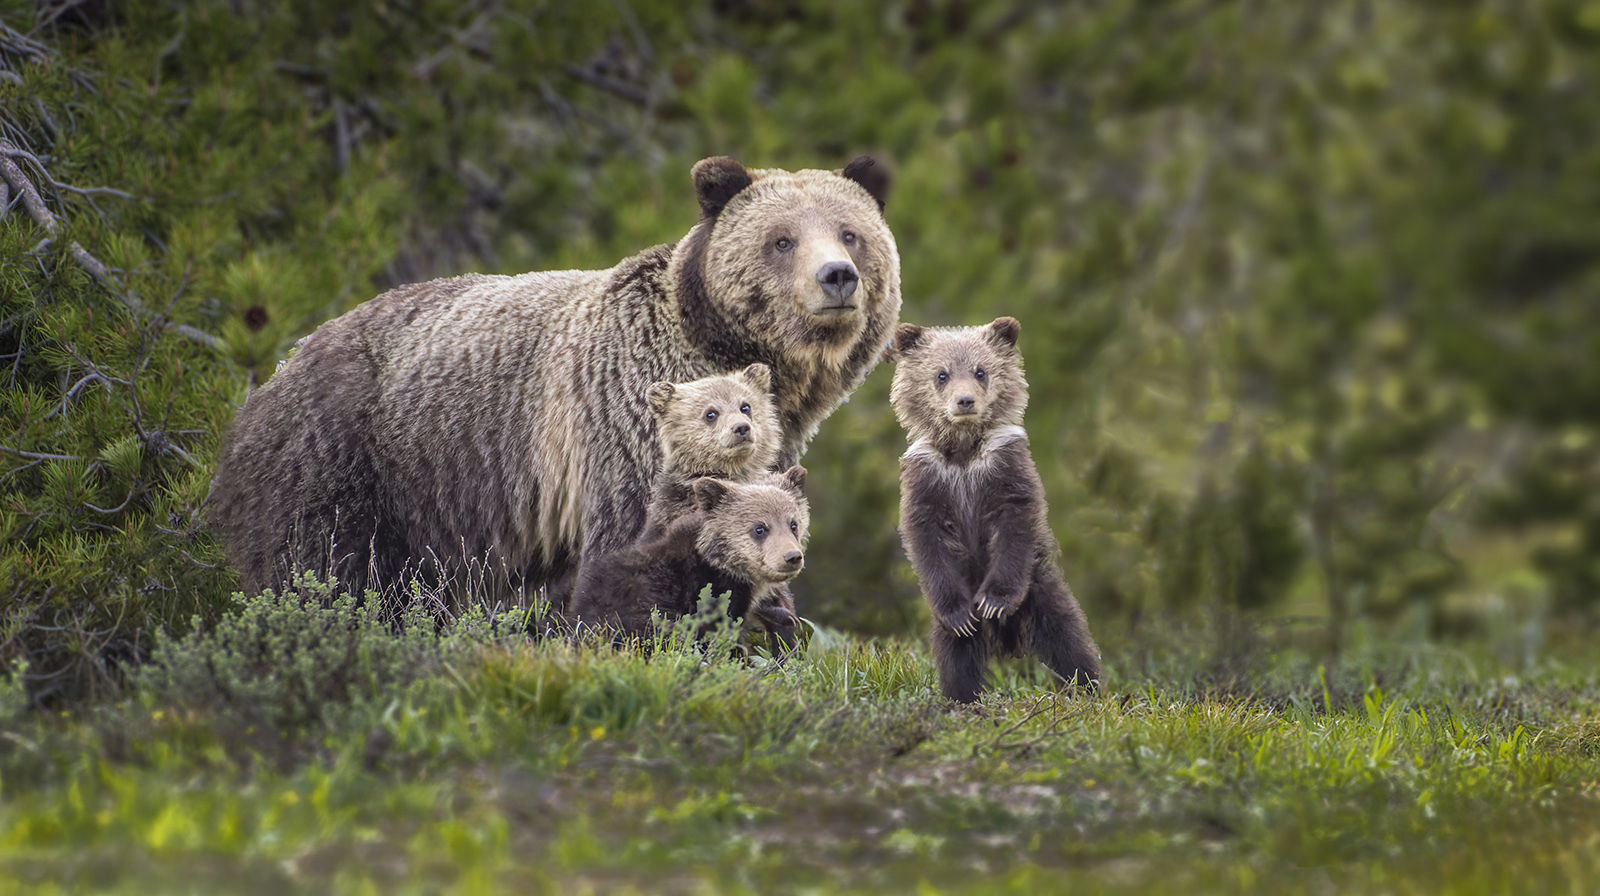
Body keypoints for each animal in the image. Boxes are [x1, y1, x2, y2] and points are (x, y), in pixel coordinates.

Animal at [208, 155, 898, 603]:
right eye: (781, 240)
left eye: (851, 233)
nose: (836, 276)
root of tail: (273, 372)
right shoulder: (627, 421)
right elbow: (639, 539)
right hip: (349, 461)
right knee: (321, 568)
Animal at [889, 316, 1101, 703]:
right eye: (941, 374)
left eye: (981, 371)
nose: (965, 400)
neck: (963, 453)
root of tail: (1008, 641)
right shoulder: (928, 479)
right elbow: (925, 537)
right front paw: (962, 616)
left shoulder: (1005, 467)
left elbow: (1015, 524)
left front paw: (994, 601)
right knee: (955, 653)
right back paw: (962, 696)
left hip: (1040, 589)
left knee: (1068, 635)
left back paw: (1089, 687)